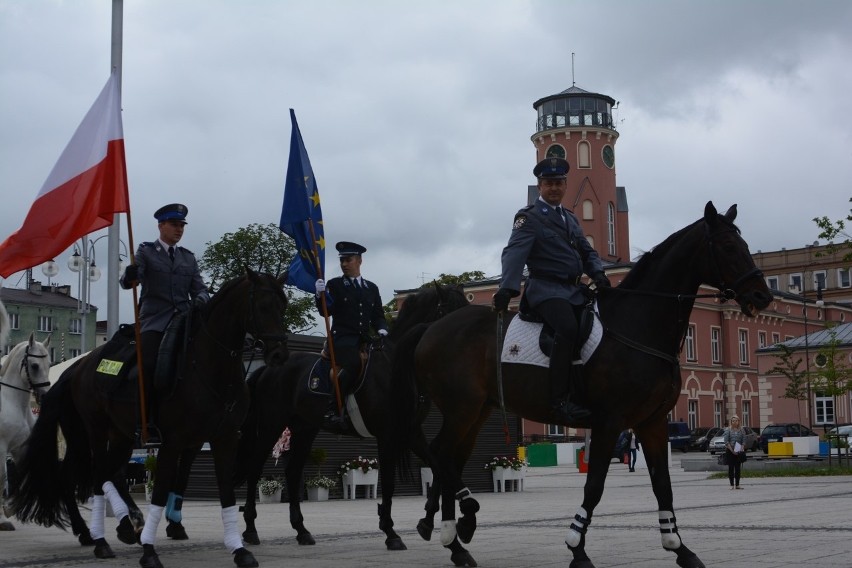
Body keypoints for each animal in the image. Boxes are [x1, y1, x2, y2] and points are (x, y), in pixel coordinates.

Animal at [0, 330, 51, 532]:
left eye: (49, 364)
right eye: (35, 365)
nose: (45, 397)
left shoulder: (21, 448)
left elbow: (23, 477)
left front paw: (11, 507)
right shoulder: (1, 447)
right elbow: (2, 477)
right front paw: (4, 515)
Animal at [11, 270, 290, 568]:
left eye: (283, 306)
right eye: (262, 306)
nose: (279, 354)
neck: (209, 367)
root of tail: (77, 367)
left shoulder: (223, 439)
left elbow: (224, 492)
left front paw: (239, 550)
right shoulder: (173, 441)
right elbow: (160, 490)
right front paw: (150, 550)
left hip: (119, 437)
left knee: (108, 474)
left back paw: (117, 527)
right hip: (91, 433)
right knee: (92, 476)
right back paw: (99, 538)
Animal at [235, 284, 466, 552]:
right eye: (452, 312)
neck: (397, 366)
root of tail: (269, 368)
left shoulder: (412, 432)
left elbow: (438, 469)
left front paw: (426, 522)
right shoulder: (388, 435)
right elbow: (389, 483)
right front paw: (391, 532)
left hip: (304, 429)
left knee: (292, 472)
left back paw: (302, 531)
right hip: (271, 426)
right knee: (254, 469)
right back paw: (251, 530)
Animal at [392, 204, 772, 568]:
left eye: (746, 246)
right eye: (728, 246)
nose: (762, 295)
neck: (637, 326)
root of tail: (431, 329)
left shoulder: (652, 422)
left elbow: (663, 485)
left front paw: (680, 548)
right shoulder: (609, 423)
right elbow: (595, 486)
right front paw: (577, 548)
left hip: (477, 412)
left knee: (449, 459)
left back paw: (453, 538)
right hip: (462, 408)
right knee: (439, 453)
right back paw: (461, 522)